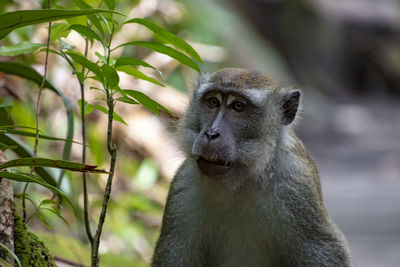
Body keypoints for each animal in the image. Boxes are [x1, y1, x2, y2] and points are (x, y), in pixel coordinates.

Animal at [152, 69, 352, 267]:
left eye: (238, 106)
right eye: (213, 102)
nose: (211, 133)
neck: (241, 181)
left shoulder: (297, 186)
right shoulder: (183, 186)